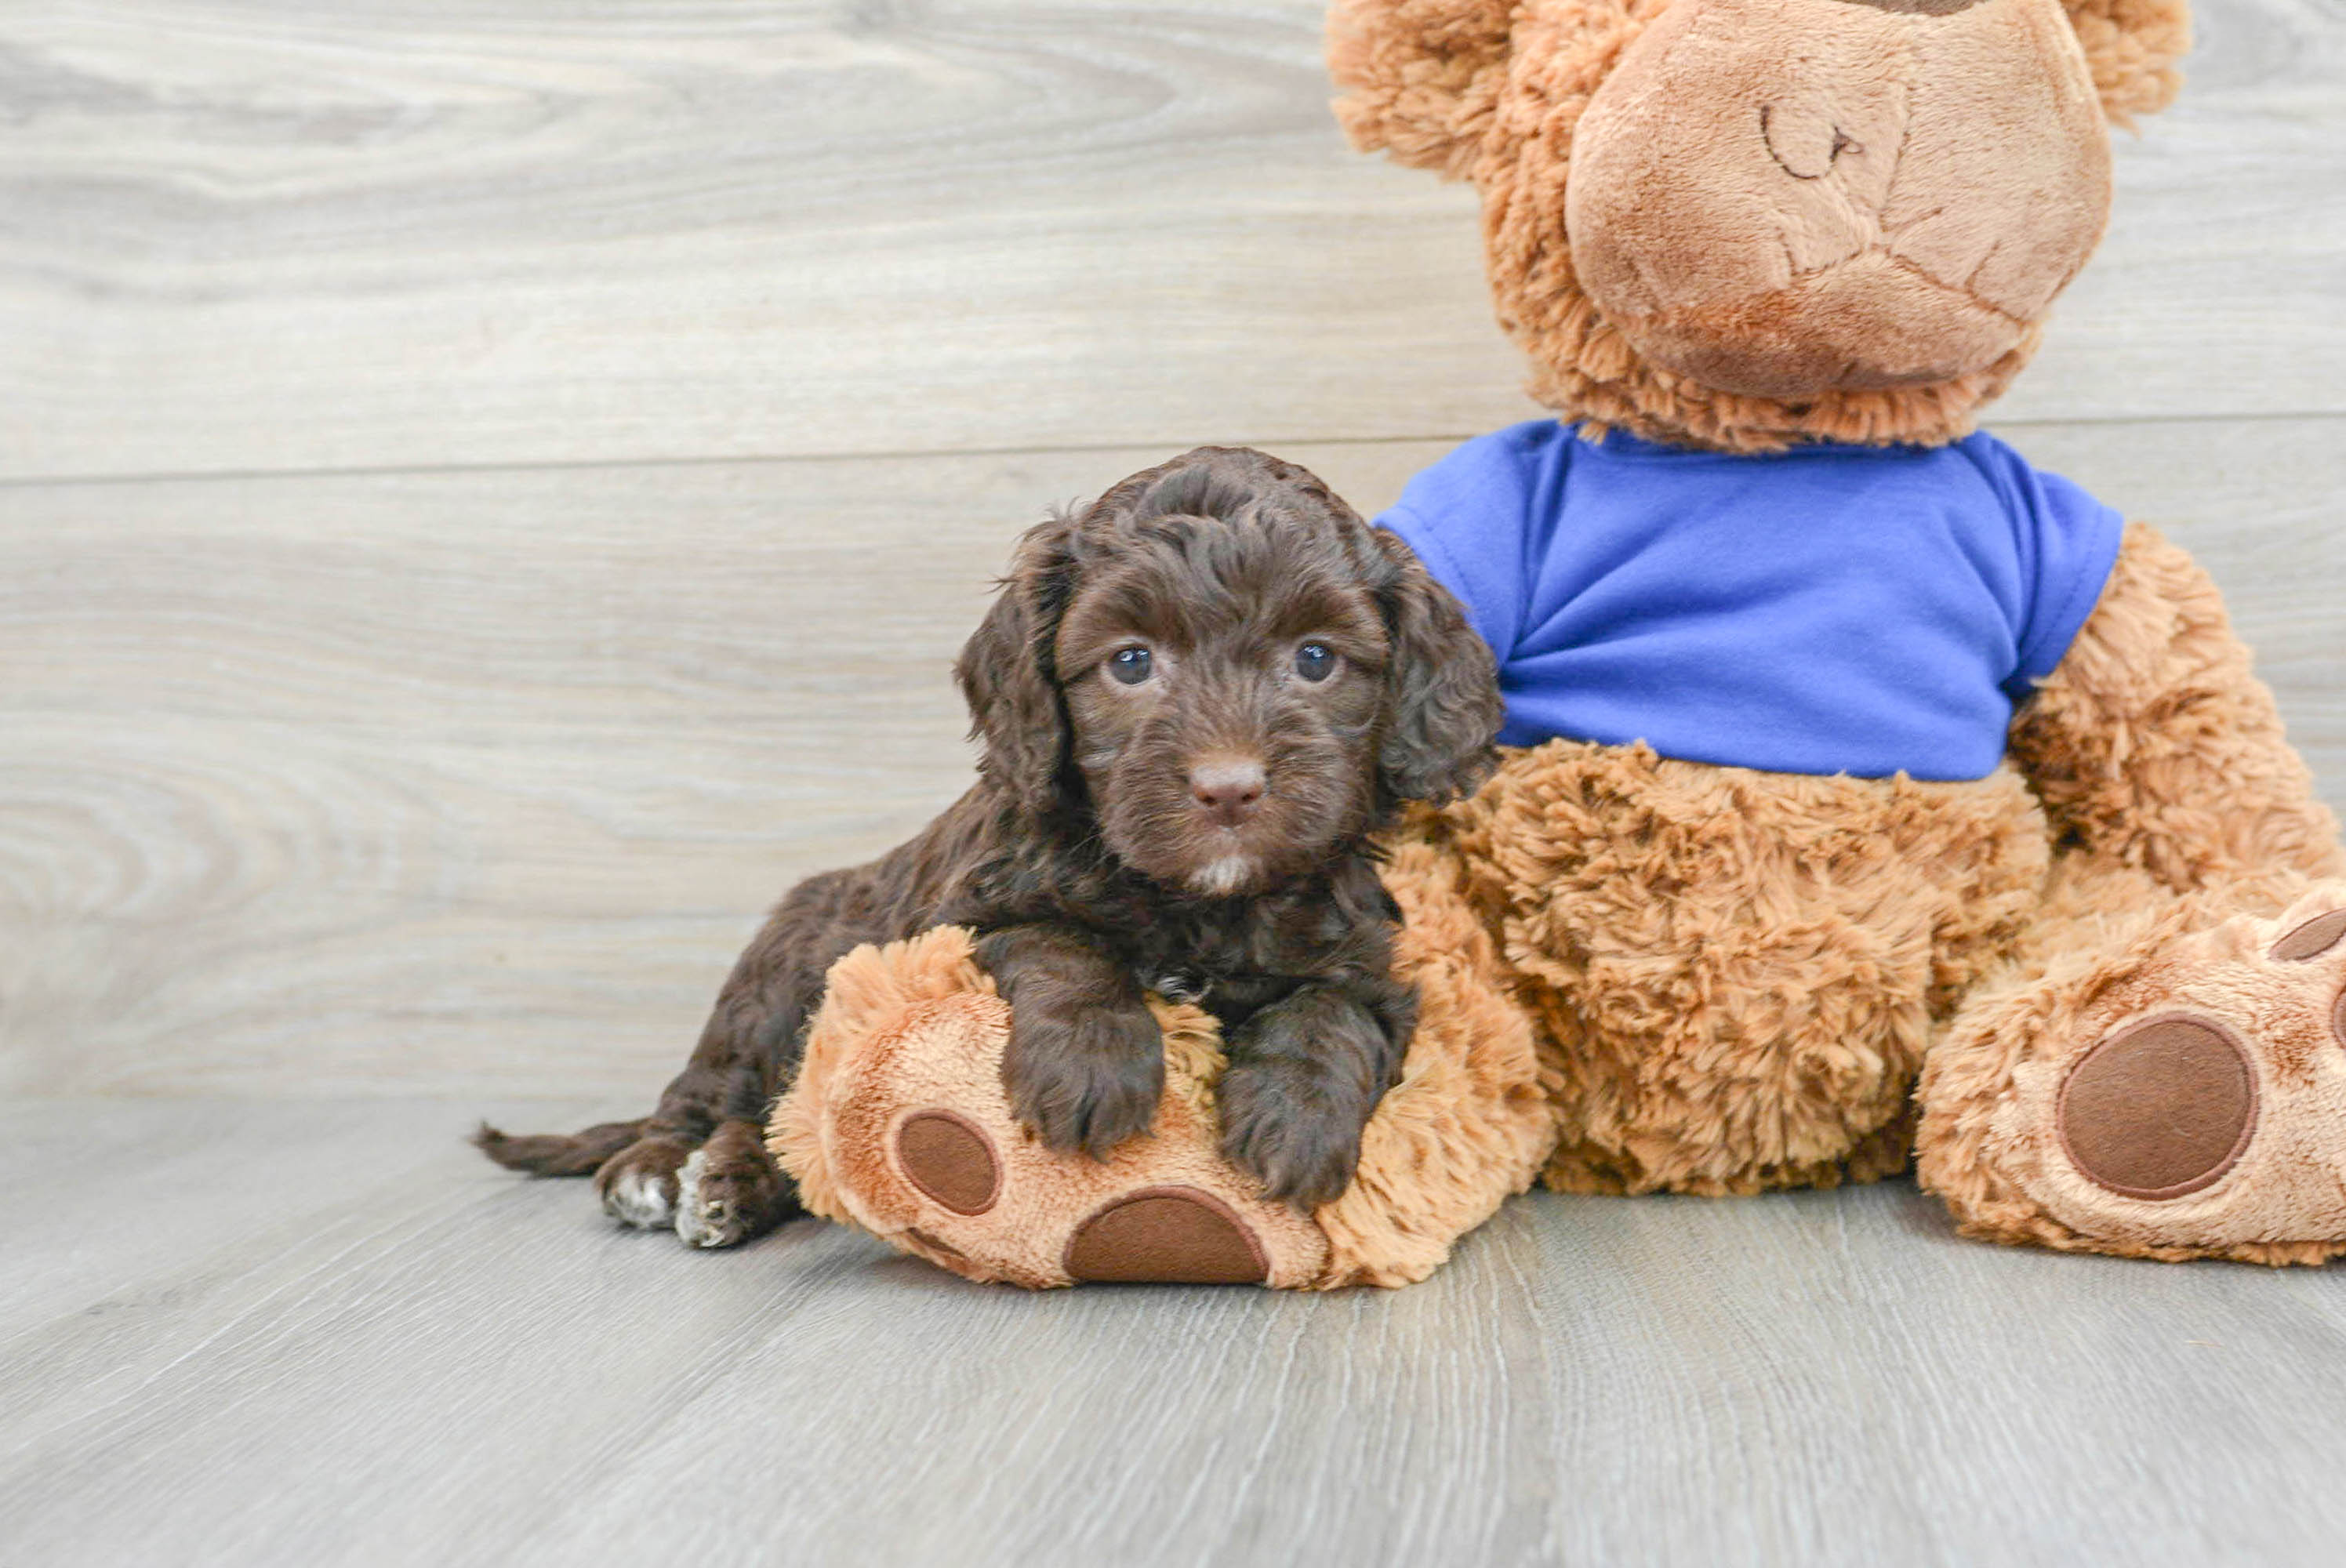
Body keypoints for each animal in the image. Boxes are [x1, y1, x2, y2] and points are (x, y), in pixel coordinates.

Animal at [478, 443, 1501, 1248]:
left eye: (1317, 658)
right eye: (1131, 661)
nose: (1229, 787)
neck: (1199, 903)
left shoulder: (1366, 957)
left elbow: (1333, 1012)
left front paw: (1294, 1117)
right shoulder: (968, 912)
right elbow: (1059, 942)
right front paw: (1091, 1064)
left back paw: (734, 1182)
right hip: (778, 975)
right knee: (722, 1094)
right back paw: (662, 1170)